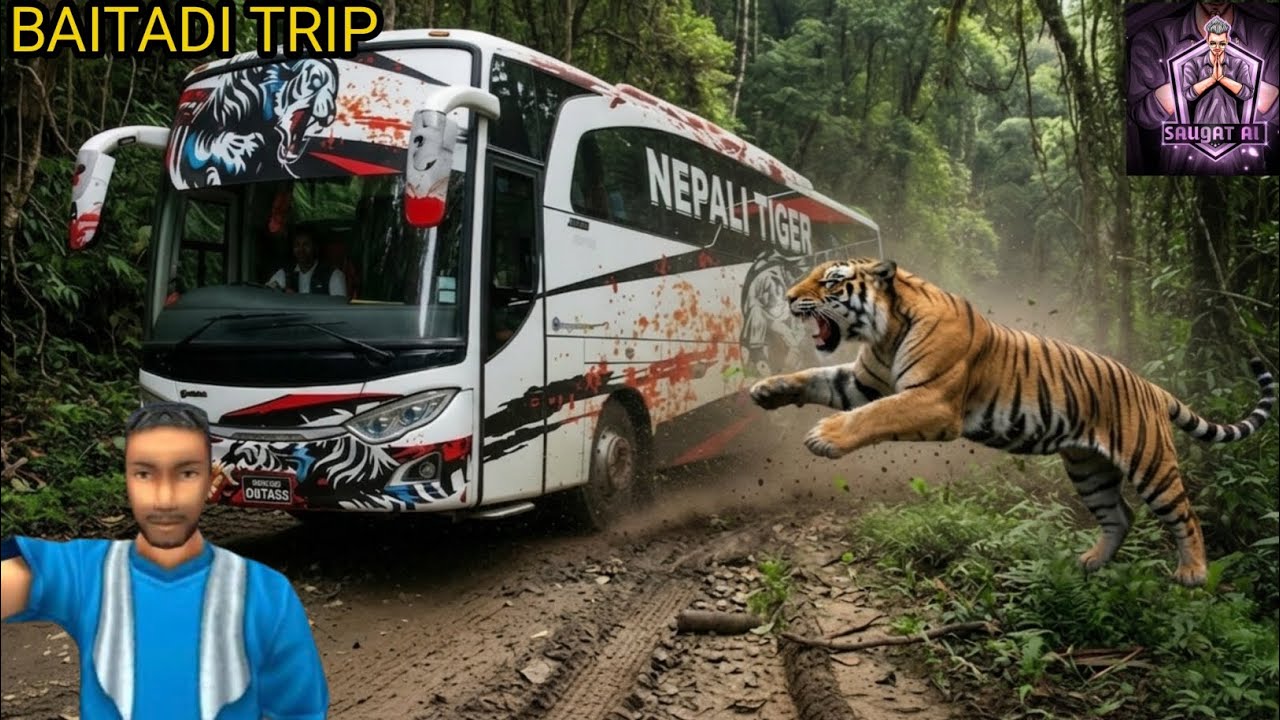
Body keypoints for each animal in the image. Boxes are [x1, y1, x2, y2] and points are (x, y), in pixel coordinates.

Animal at [748, 258, 1276, 587]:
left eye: (831, 282)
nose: (790, 297)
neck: (887, 329)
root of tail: (1151, 386)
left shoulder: (933, 401)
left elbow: (874, 413)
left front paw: (824, 436)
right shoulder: (862, 381)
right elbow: (817, 378)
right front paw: (768, 389)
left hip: (1150, 462)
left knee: (1185, 514)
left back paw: (1193, 573)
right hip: (1088, 467)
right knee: (1119, 515)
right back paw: (1090, 563)